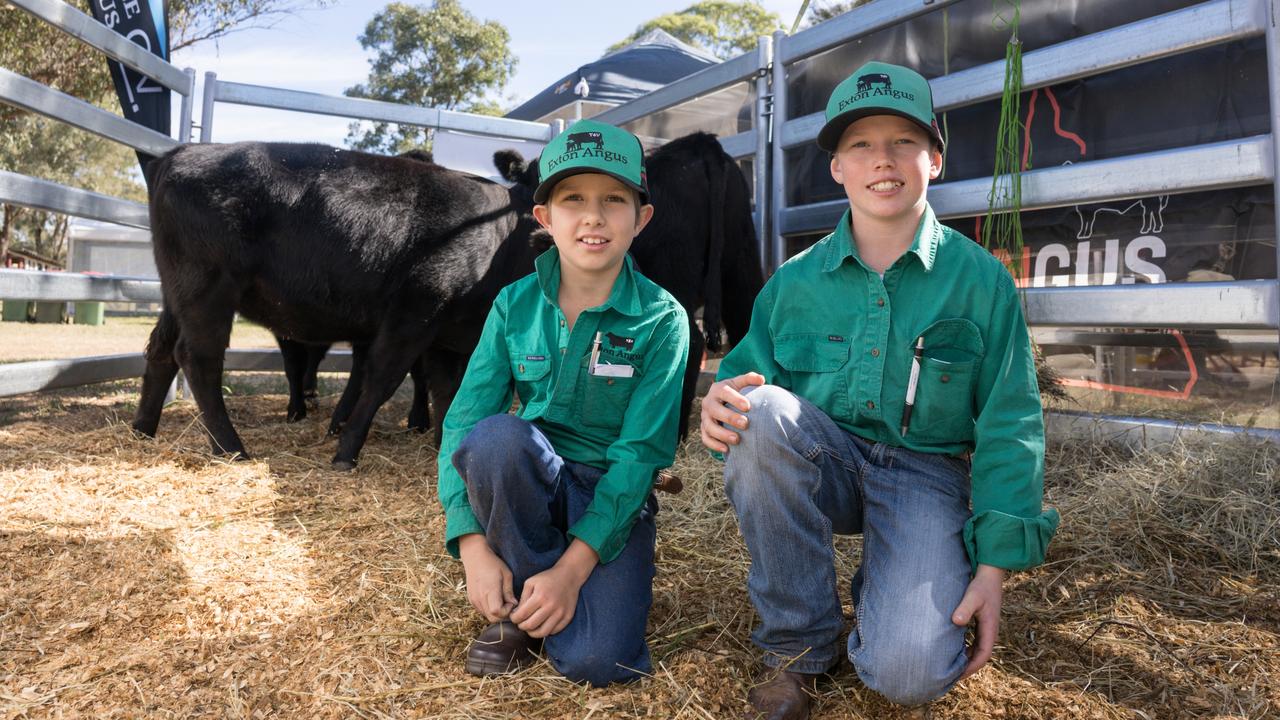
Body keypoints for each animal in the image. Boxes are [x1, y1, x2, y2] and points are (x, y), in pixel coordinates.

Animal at [133, 142, 540, 468]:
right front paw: (347, 451)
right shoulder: (415, 311)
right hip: (209, 289)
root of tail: (179, 153)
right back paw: (231, 448)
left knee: (161, 351)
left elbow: (448, 389)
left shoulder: (444, 335)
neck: (500, 236)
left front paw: (445, 444)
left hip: (176, 294)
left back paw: (142, 430)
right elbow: (382, 379)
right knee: (199, 359)